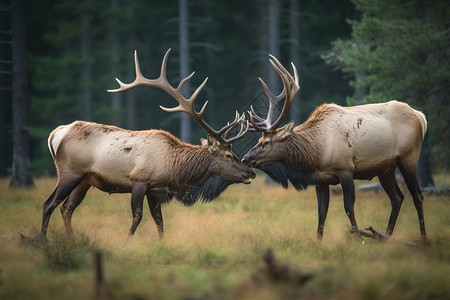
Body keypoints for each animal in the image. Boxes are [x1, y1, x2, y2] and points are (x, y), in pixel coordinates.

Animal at [40, 49, 255, 241]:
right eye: (229, 156)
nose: (251, 171)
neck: (174, 169)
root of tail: (55, 134)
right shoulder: (140, 180)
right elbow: (138, 216)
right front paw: (126, 243)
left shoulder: (155, 189)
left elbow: (159, 220)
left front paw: (162, 243)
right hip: (69, 172)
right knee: (49, 203)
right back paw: (42, 239)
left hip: (85, 180)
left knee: (67, 208)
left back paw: (72, 239)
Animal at [241, 54, 428, 241]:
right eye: (259, 140)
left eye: (266, 142)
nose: (245, 158)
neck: (316, 153)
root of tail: (421, 117)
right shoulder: (320, 179)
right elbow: (321, 212)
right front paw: (319, 240)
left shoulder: (346, 169)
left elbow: (348, 207)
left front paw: (358, 237)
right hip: (385, 168)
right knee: (397, 198)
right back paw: (386, 237)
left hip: (408, 157)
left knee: (418, 195)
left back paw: (423, 238)